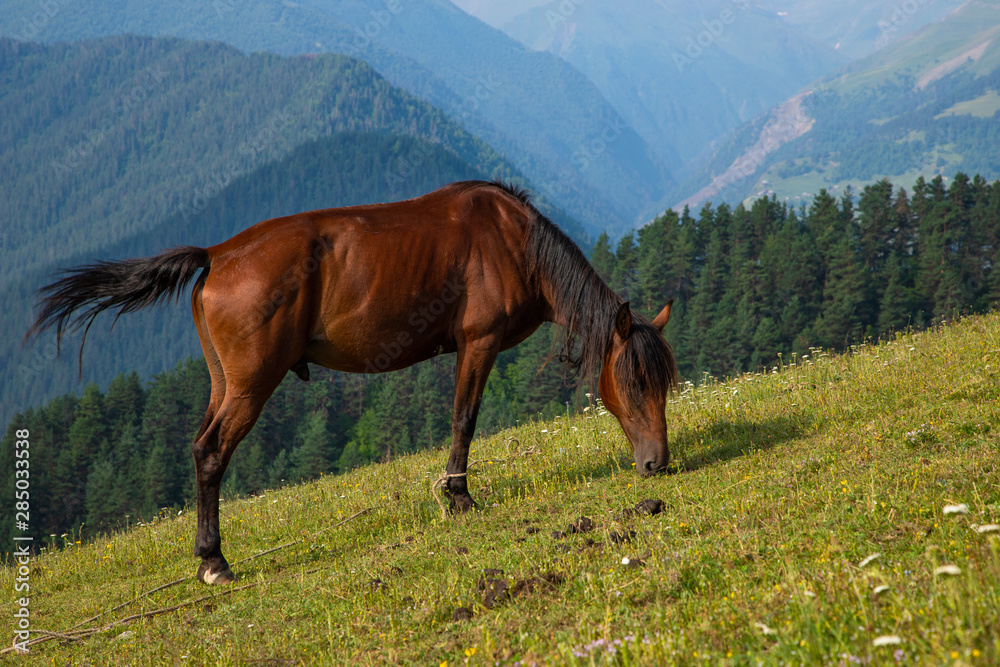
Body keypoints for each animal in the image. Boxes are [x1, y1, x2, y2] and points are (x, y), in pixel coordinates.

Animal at [25, 181, 680, 584]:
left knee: (199, 446)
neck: (513, 240)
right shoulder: (479, 343)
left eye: (664, 384)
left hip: (222, 384)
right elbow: (464, 418)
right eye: (634, 382)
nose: (658, 463)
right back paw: (215, 560)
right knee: (211, 454)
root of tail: (218, 253)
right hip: (250, 387)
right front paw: (460, 498)